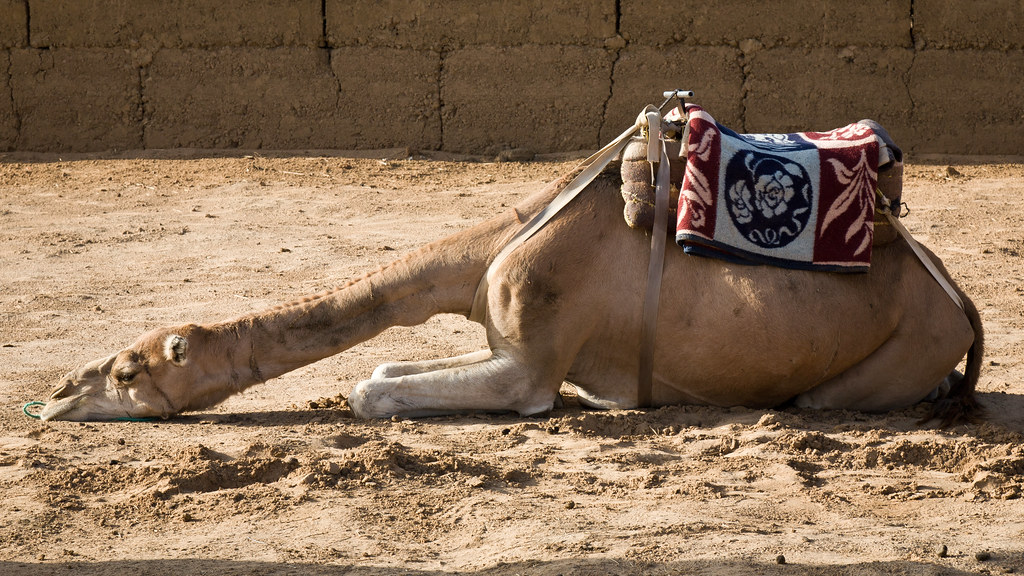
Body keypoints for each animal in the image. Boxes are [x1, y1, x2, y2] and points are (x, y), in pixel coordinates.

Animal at [39, 111, 983, 422]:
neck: (491, 253)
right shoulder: (506, 338)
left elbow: (370, 392)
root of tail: (966, 308)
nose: (50, 398)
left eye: (126, 371)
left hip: (899, 346)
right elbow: (382, 369)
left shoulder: (528, 366)